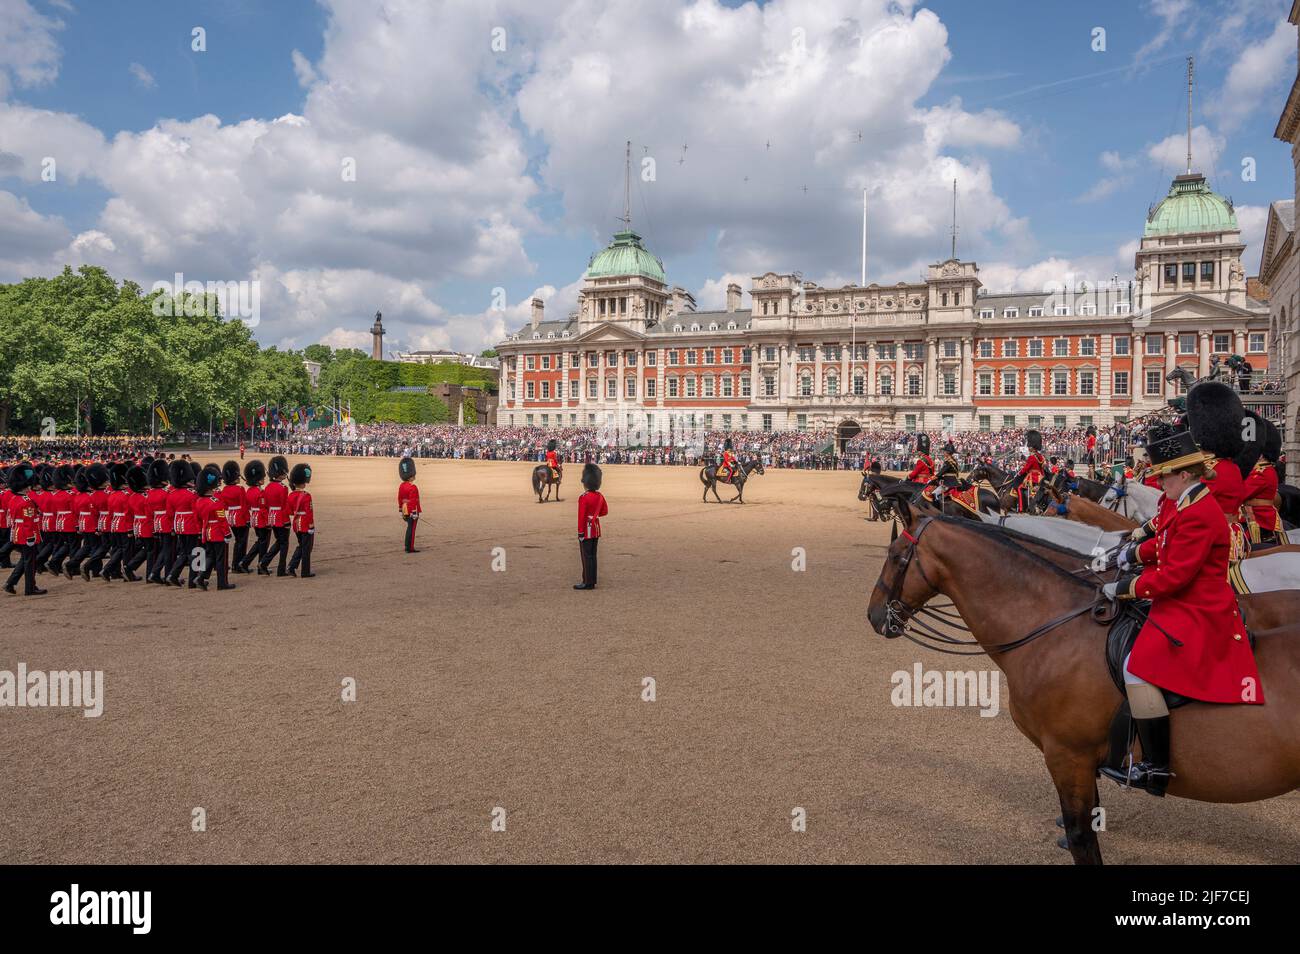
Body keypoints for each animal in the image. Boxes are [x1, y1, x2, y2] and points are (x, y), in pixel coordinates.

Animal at [863, 501, 1300, 868]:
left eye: (896, 556)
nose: (873, 615)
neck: (1055, 626)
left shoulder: (1067, 755)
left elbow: (1081, 838)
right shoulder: (1080, 759)